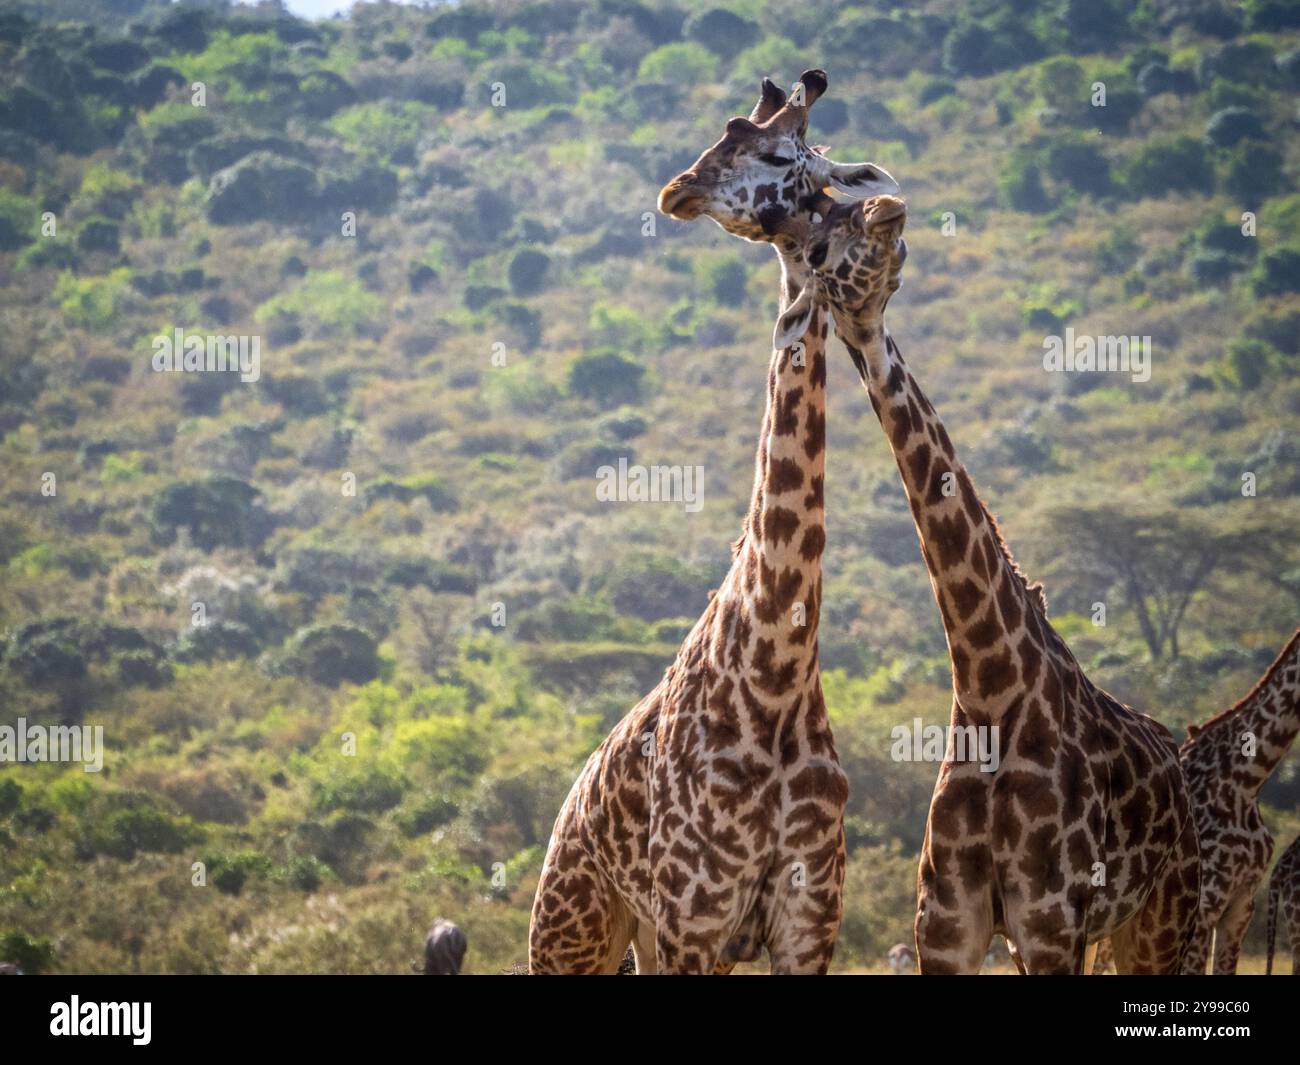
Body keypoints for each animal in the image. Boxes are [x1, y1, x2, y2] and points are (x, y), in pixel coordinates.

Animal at [529, 72, 895, 975]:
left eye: (779, 155)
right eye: (720, 140)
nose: (678, 189)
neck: (775, 675)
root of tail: (567, 807)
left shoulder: (805, 920)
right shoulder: (696, 915)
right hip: (574, 927)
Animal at [770, 195, 1201, 974]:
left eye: (855, 216)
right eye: (823, 237)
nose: (887, 206)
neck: (990, 687)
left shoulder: (1050, 921)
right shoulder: (947, 925)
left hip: (1164, 912)